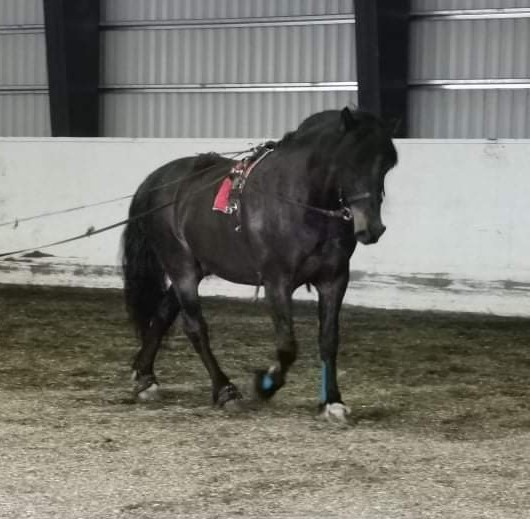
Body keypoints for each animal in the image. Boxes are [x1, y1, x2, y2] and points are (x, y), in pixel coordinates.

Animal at [121, 107, 398, 420]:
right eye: (348, 162)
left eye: (386, 166)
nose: (372, 229)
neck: (298, 201)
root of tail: (154, 183)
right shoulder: (276, 282)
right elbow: (287, 347)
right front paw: (265, 384)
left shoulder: (334, 280)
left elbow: (328, 340)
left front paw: (332, 402)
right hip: (182, 269)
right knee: (195, 328)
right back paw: (225, 390)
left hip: (195, 267)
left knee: (162, 314)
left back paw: (145, 378)